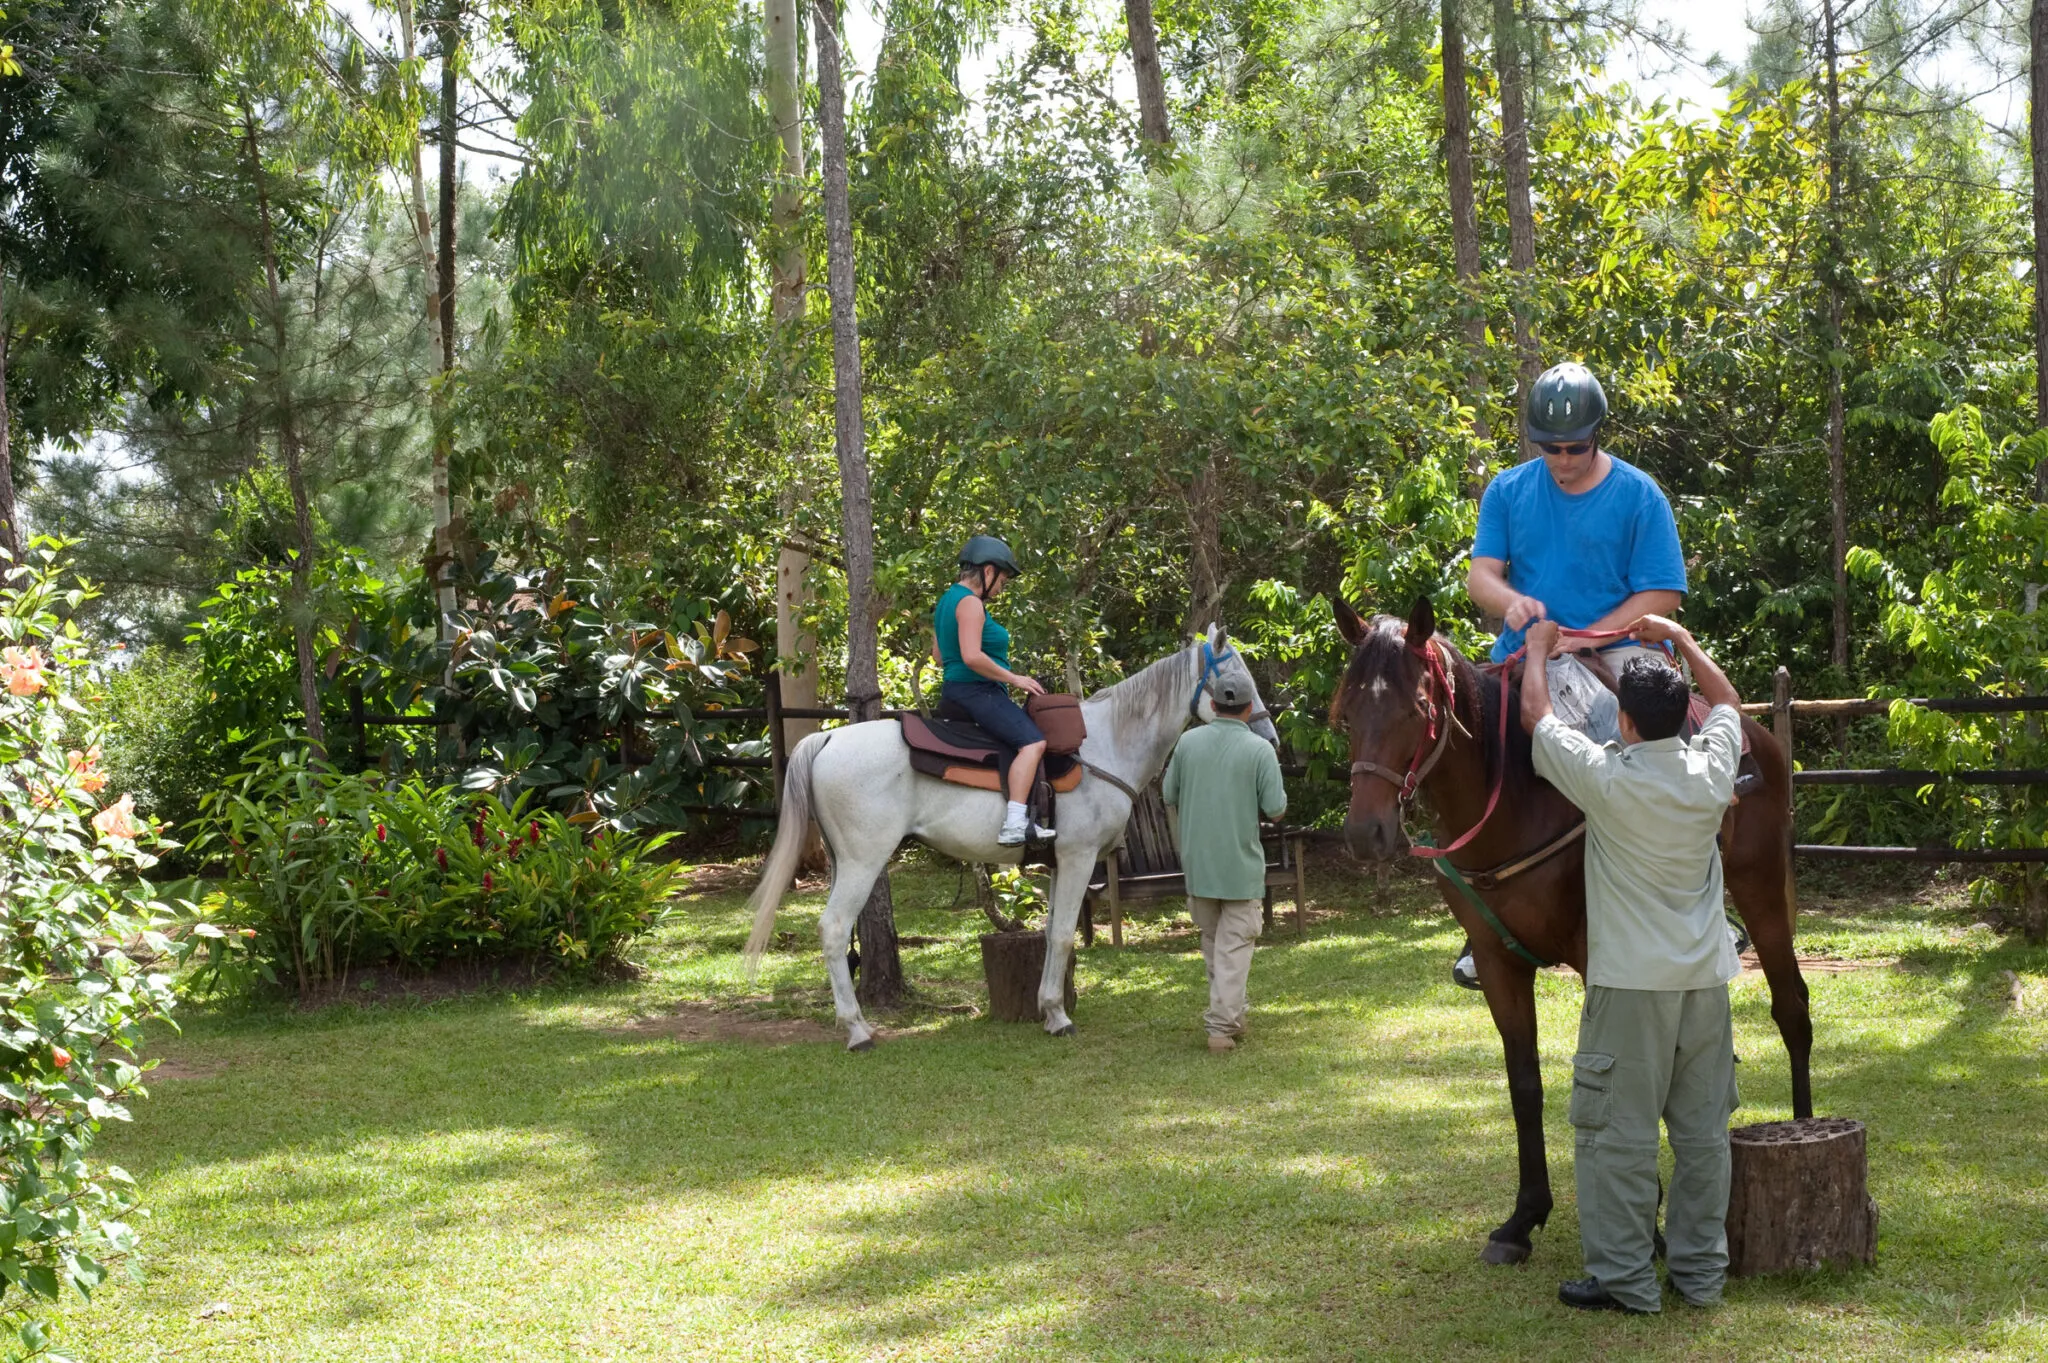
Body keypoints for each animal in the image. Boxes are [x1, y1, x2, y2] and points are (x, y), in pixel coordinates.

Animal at [737, 622, 1277, 1043]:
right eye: (1233, 685)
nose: (1269, 737)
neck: (1103, 744)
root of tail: (827, 737)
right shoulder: (1079, 857)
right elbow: (1062, 934)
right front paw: (1058, 1017)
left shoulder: (1060, 863)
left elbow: (1054, 932)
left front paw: (1050, 1010)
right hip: (863, 860)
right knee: (832, 928)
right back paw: (856, 1030)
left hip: (840, 859)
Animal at [1327, 593, 1810, 1260]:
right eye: (1347, 715)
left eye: (1417, 709)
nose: (1364, 833)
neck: (1514, 795)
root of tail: (1752, 729)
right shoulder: (1498, 963)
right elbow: (1525, 1083)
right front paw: (1525, 1216)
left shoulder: (1598, 958)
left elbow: (1623, 1075)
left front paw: (1646, 1225)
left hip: (1760, 883)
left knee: (1791, 1006)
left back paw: (1806, 1127)